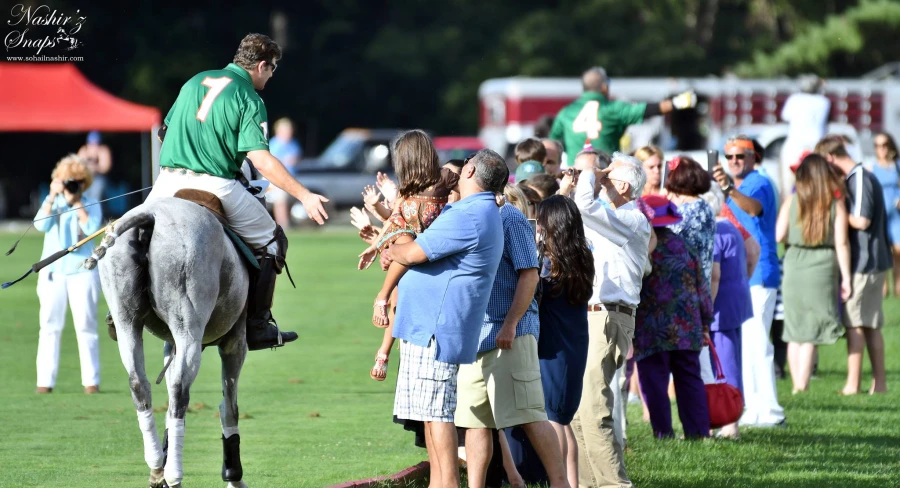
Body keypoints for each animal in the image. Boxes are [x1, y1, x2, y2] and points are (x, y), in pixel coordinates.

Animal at [85, 196, 251, 488]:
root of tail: (149, 214)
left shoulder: (169, 344)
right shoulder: (235, 341)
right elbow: (229, 405)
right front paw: (233, 475)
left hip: (126, 319)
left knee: (139, 383)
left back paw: (156, 467)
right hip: (188, 321)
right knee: (179, 389)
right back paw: (173, 473)